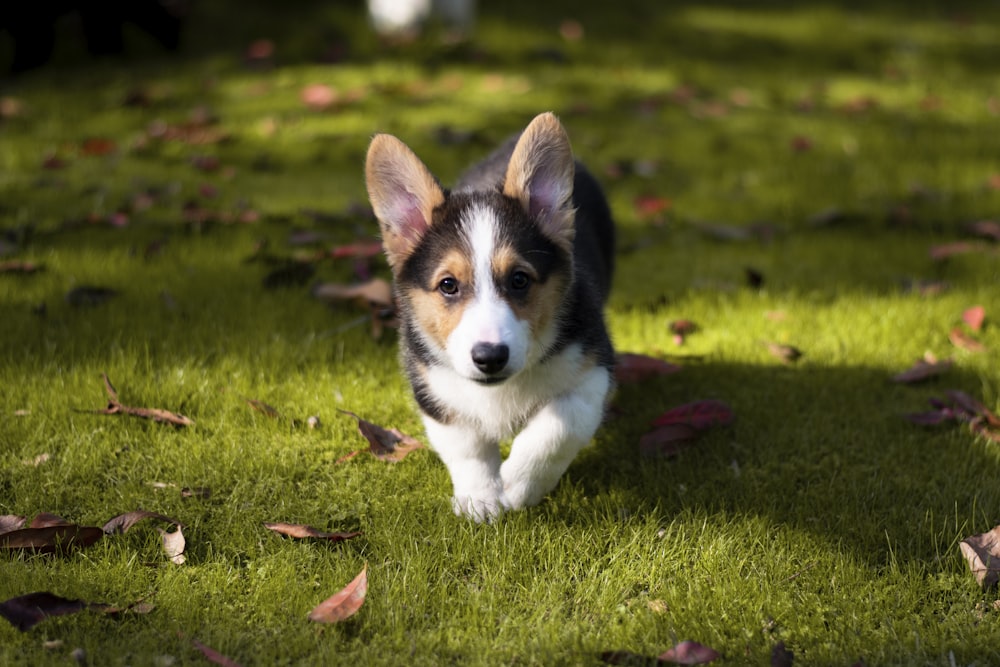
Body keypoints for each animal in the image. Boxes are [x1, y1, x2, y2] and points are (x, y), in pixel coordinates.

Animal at [366, 113, 612, 520]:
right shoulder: (433, 387)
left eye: (519, 279)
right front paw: (479, 500)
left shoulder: (592, 372)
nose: (489, 357)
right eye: (448, 285)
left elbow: (558, 426)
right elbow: (466, 446)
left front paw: (517, 484)